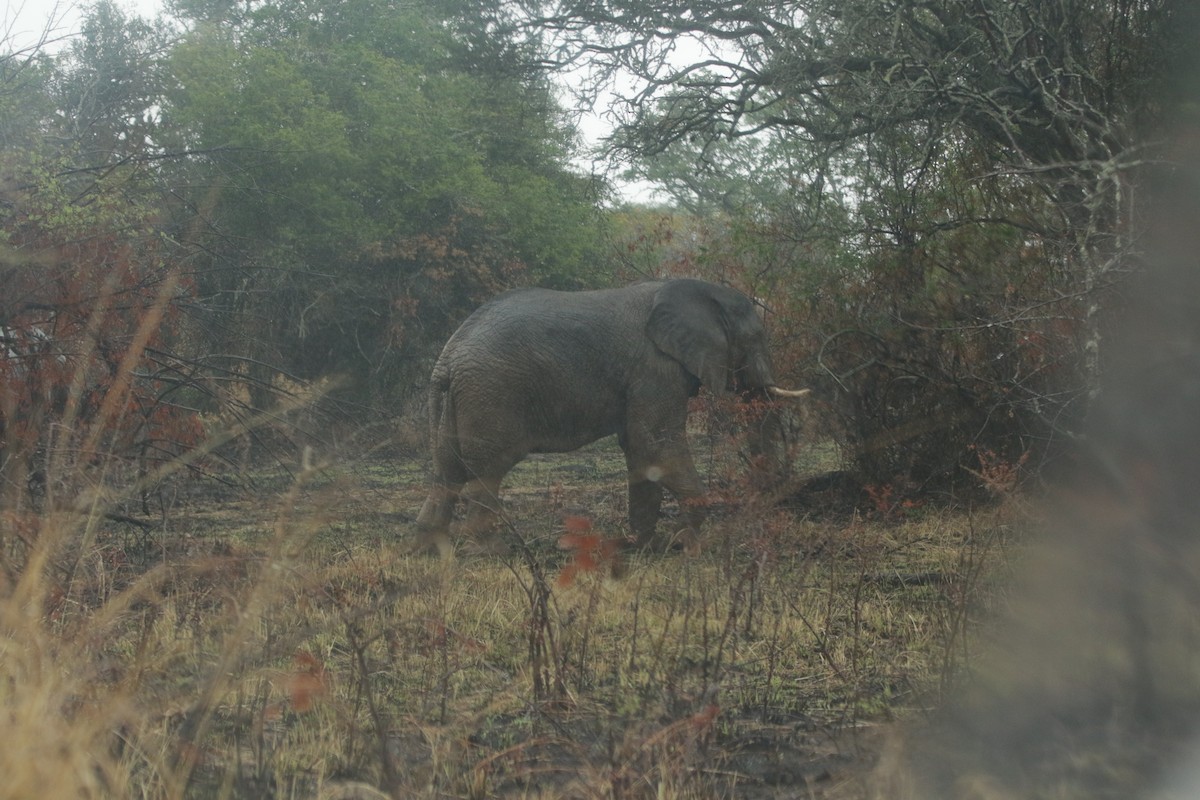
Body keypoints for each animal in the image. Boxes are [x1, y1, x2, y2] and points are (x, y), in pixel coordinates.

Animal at [414, 278, 807, 554]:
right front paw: (685, 545)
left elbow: (640, 450)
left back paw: (429, 547)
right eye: (756, 337)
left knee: (445, 471)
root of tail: (448, 356)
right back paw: (495, 552)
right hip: (491, 394)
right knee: (487, 471)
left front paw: (648, 547)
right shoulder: (655, 367)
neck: (696, 289)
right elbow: (656, 445)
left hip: (451, 402)